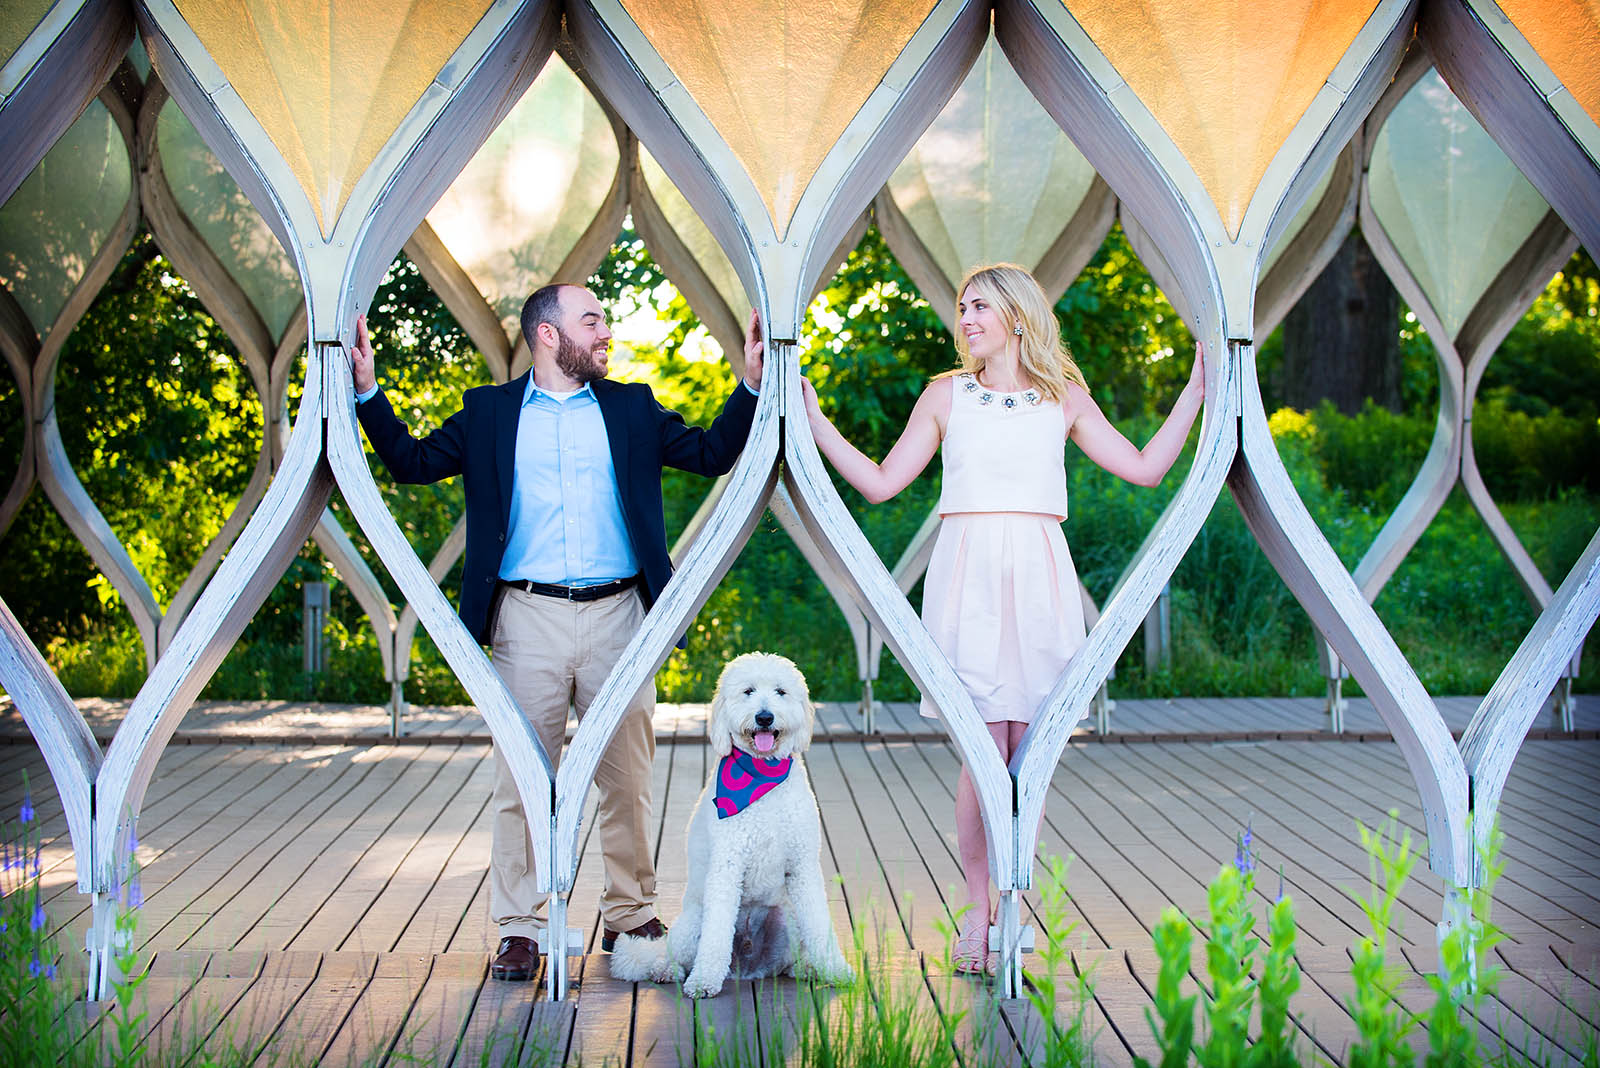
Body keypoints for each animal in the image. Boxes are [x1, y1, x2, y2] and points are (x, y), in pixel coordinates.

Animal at [611, 652, 857, 1004]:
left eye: (781, 692)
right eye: (748, 691)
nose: (765, 717)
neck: (763, 779)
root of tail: (747, 970)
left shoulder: (803, 866)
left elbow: (820, 924)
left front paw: (836, 970)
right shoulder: (726, 867)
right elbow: (716, 935)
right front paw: (703, 981)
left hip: (789, 918)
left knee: (788, 963)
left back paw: (806, 968)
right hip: (693, 923)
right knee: (672, 954)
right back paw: (668, 970)